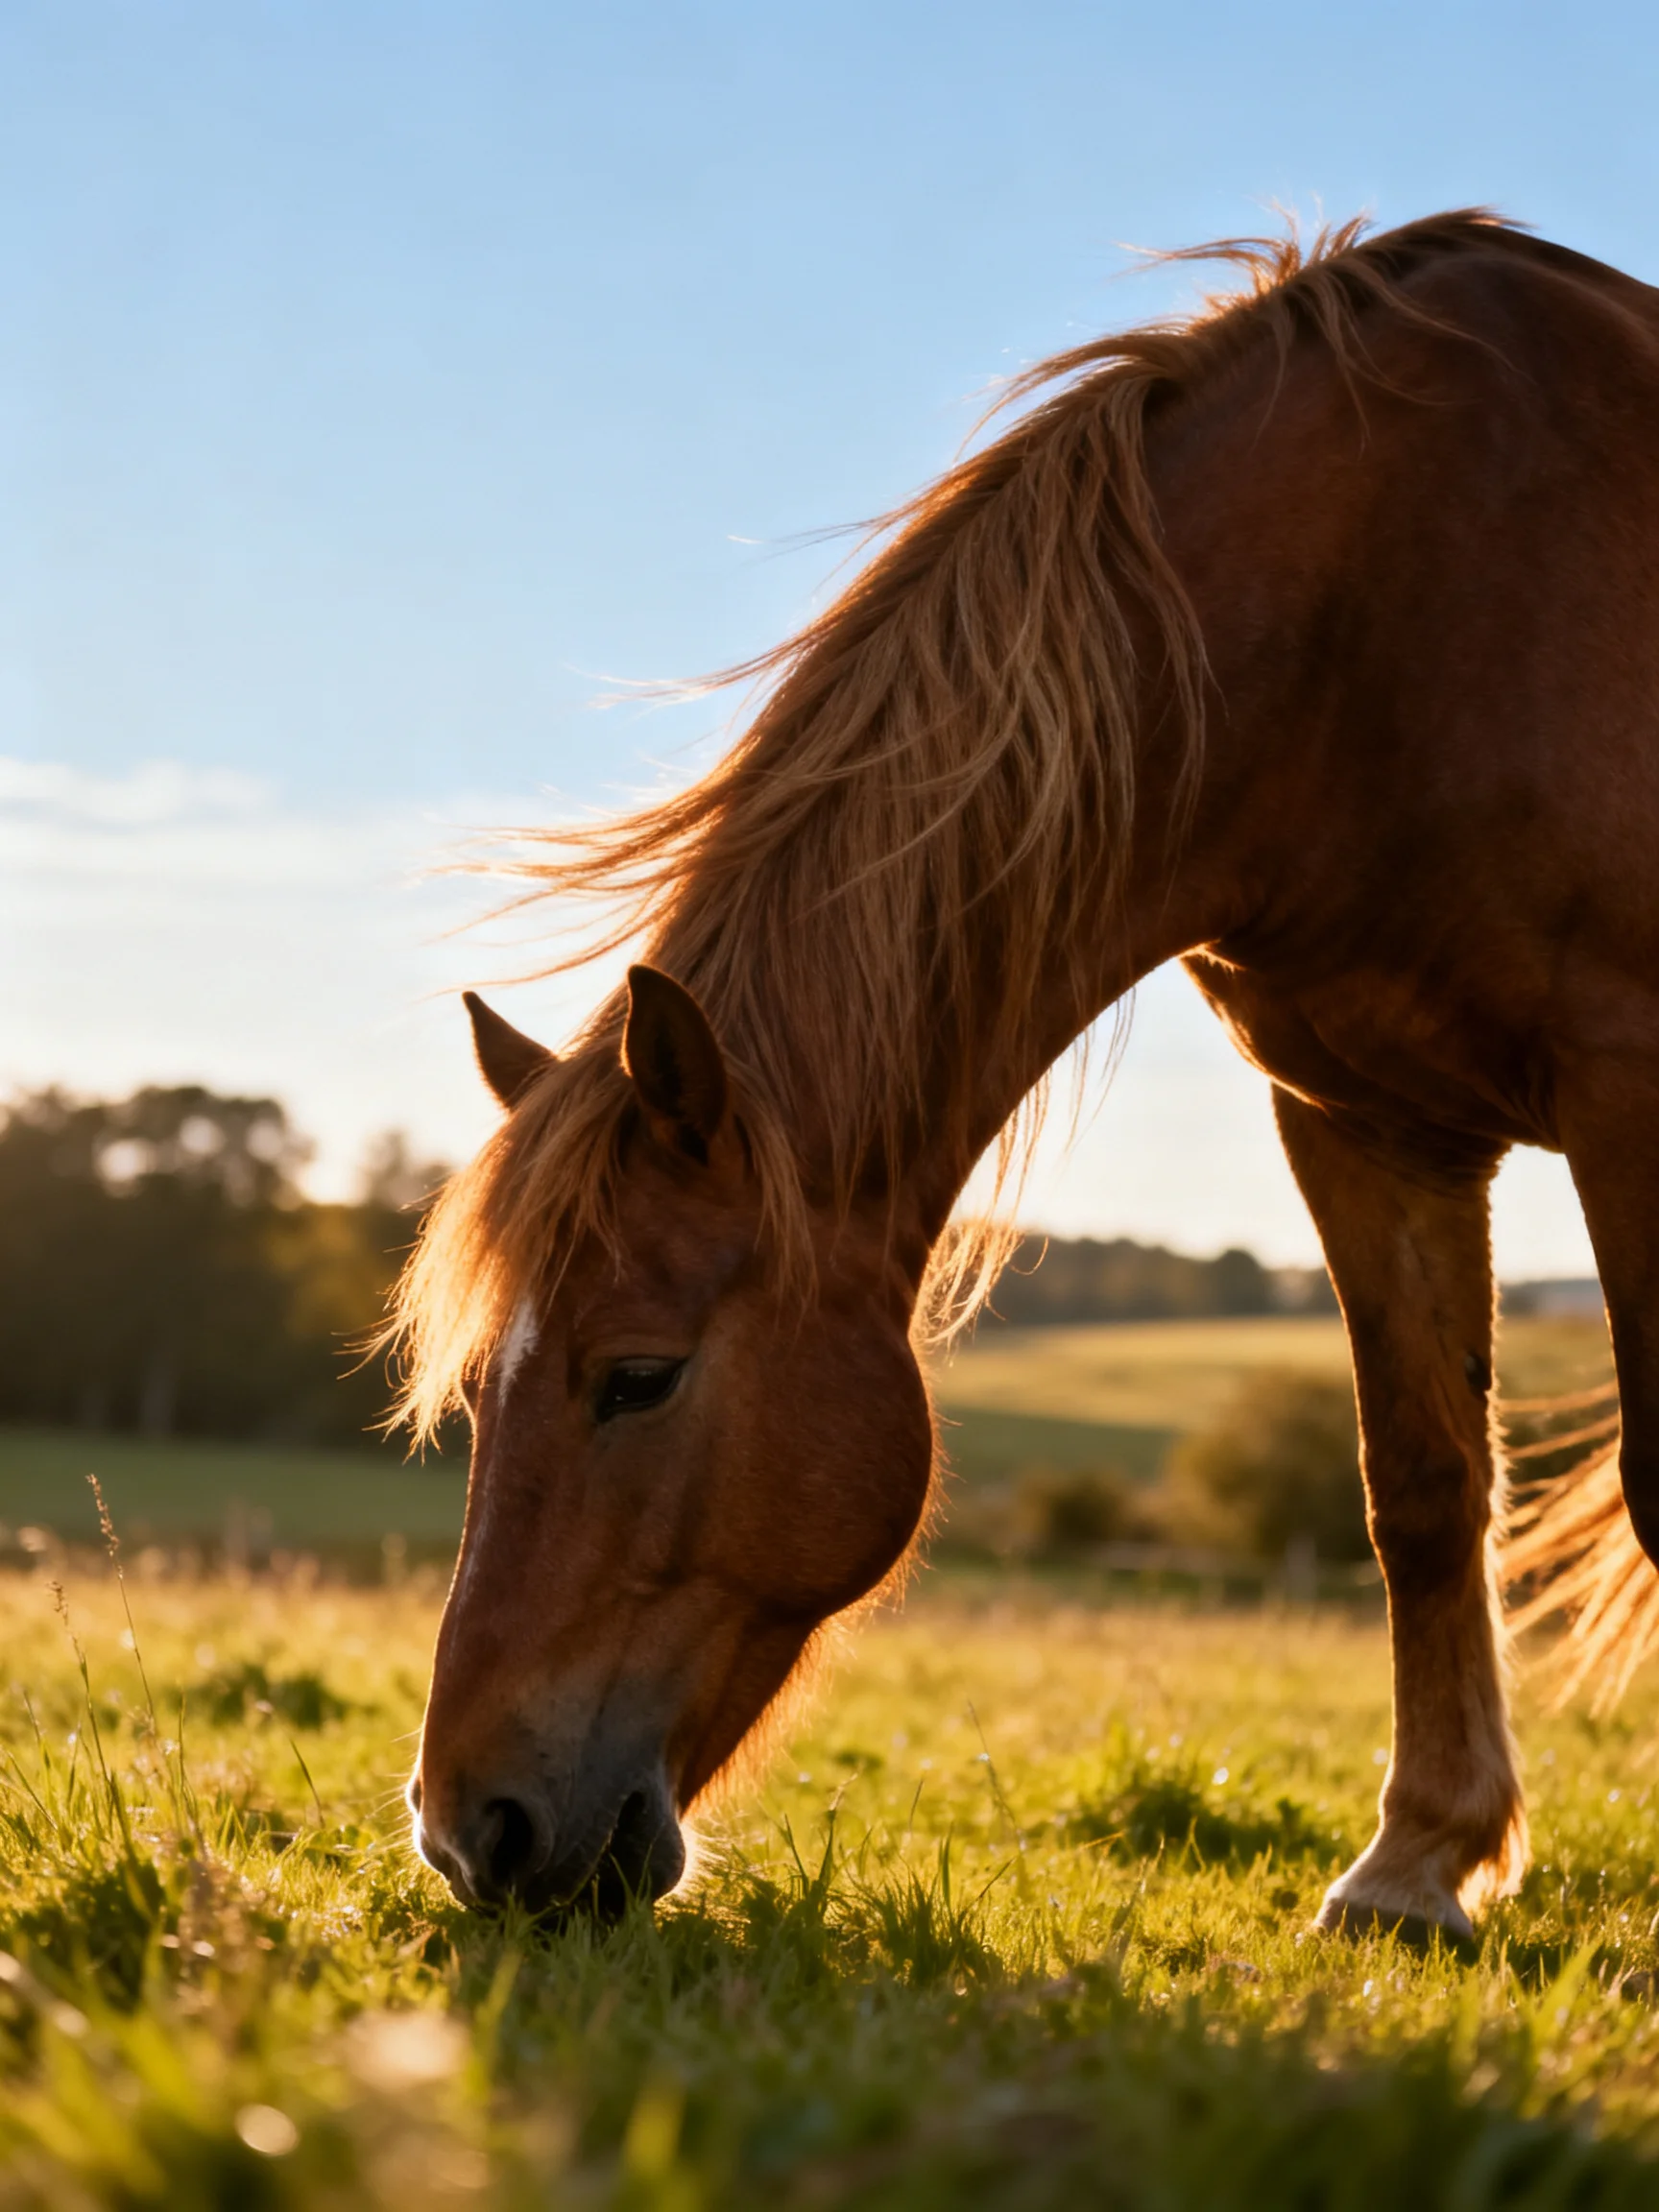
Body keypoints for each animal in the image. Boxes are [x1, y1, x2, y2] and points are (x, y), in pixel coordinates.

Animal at [396, 211, 1659, 1938]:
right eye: (474, 1390)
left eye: (636, 1375)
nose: (471, 1833)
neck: (1403, 602)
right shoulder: (1360, 1119)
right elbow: (1418, 1485)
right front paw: (1413, 1866)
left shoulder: (1627, 1081)